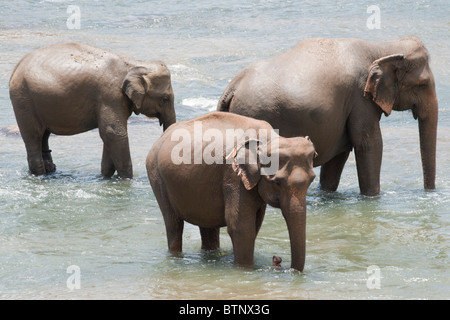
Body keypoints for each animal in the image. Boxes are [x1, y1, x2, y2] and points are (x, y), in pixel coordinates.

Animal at [10, 41, 176, 179]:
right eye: (165, 98)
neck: (134, 64)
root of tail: (16, 68)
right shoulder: (110, 95)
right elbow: (113, 132)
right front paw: (127, 180)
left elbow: (110, 135)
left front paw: (105, 177)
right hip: (23, 99)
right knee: (33, 136)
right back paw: (39, 175)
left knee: (44, 136)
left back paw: (50, 172)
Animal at [146, 111, 314, 272]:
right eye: (277, 182)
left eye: (312, 180)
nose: (277, 260)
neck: (268, 139)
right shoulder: (234, 177)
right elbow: (241, 227)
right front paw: (244, 269)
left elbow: (255, 224)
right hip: (156, 175)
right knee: (173, 223)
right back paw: (176, 257)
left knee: (207, 226)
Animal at [220, 35, 438, 195]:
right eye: (422, 84)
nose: (428, 192)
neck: (382, 46)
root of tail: (231, 89)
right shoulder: (361, 99)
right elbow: (368, 144)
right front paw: (373, 197)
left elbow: (340, 153)